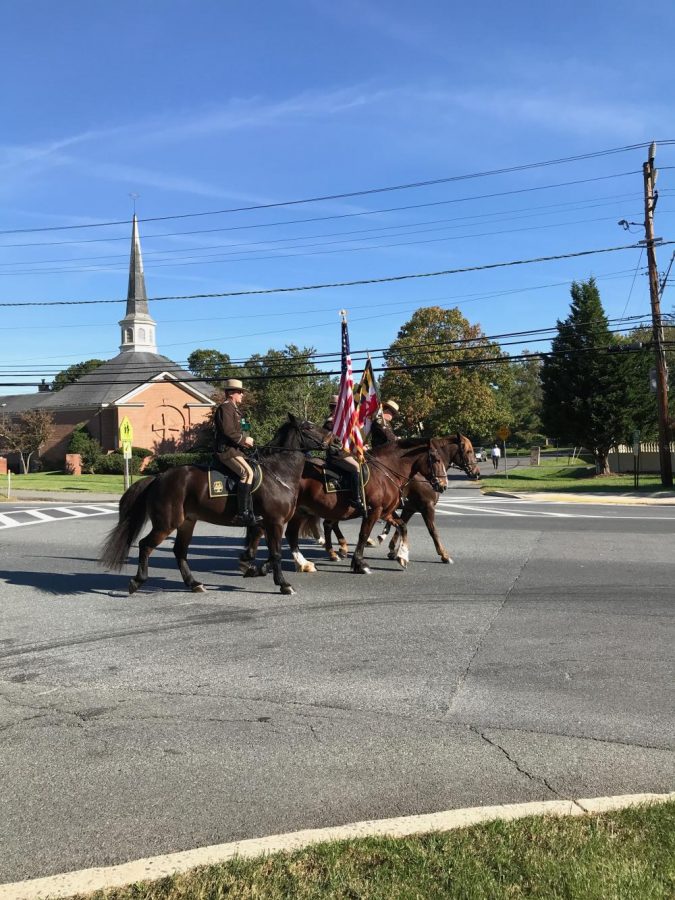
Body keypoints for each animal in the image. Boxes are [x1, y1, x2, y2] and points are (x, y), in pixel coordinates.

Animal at [100, 414, 330, 596]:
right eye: (308, 427)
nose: (332, 438)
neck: (279, 474)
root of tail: (159, 477)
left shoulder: (264, 523)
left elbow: (262, 552)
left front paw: (251, 567)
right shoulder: (275, 522)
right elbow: (275, 554)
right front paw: (283, 585)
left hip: (187, 522)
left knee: (179, 551)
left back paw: (194, 583)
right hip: (166, 524)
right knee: (145, 545)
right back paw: (137, 582)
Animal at [242, 438, 448, 576]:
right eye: (436, 460)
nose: (443, 485)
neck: (385, 472)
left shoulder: (386, 512)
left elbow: (403, 527)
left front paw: (402, 556)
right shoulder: (374, 511)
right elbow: (363, 535)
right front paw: (359, 563)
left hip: (299, 512)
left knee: (289, 534)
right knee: (267, 531)